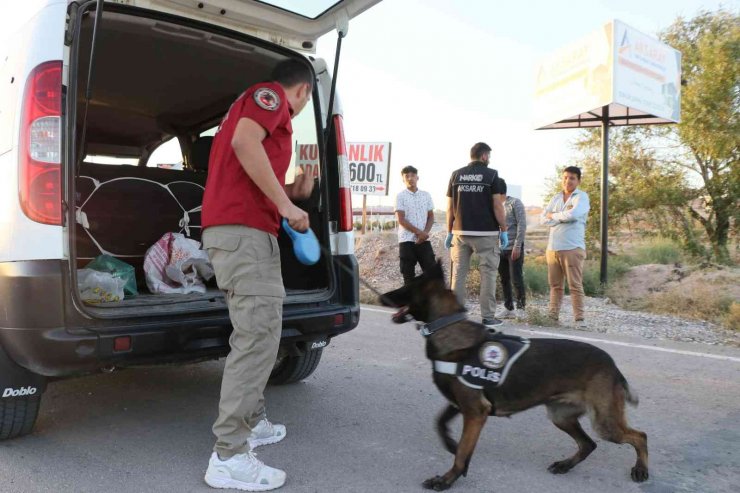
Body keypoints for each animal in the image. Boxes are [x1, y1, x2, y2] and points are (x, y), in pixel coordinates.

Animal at [382, 262, 648, 488]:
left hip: (604, 423)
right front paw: (451, 444)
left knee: (639, 436)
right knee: (588, 444)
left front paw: (447, 479)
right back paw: (565, 465)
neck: (448, 327)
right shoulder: (460, 404)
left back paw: (641, 470)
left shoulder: (475, 412)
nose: (381, 296)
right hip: (561, 416)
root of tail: (612, 364)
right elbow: (440, 423)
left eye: (405, 287)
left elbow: (462, 453)